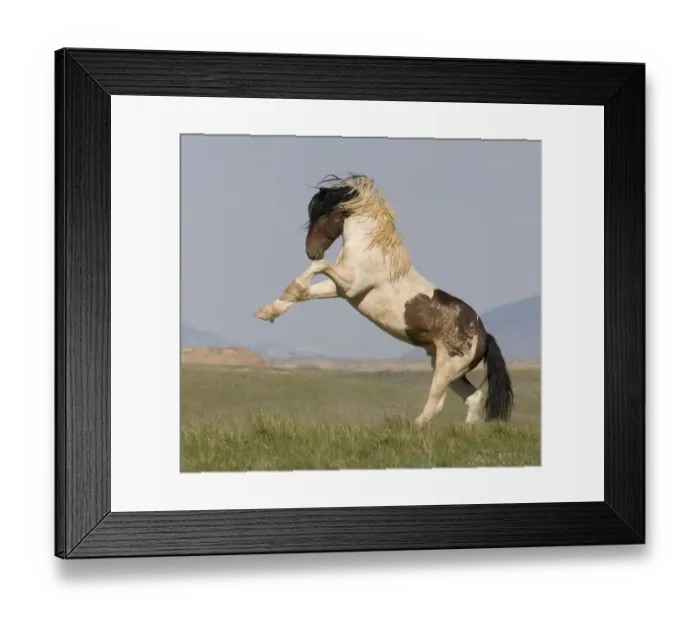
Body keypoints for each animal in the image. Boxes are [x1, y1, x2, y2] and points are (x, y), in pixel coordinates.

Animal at [253, 174, 514, 428]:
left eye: (321, 213)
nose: (310, 251)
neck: (370, 250)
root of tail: (484, 335)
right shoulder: (342, 290)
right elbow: (306, 292)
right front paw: (267, 311)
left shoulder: (351, 283)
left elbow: (320, 267)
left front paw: (290, 288)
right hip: (451, 370)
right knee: (474, 398)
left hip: (446, 367)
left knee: (436, 403)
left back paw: (412, 428)